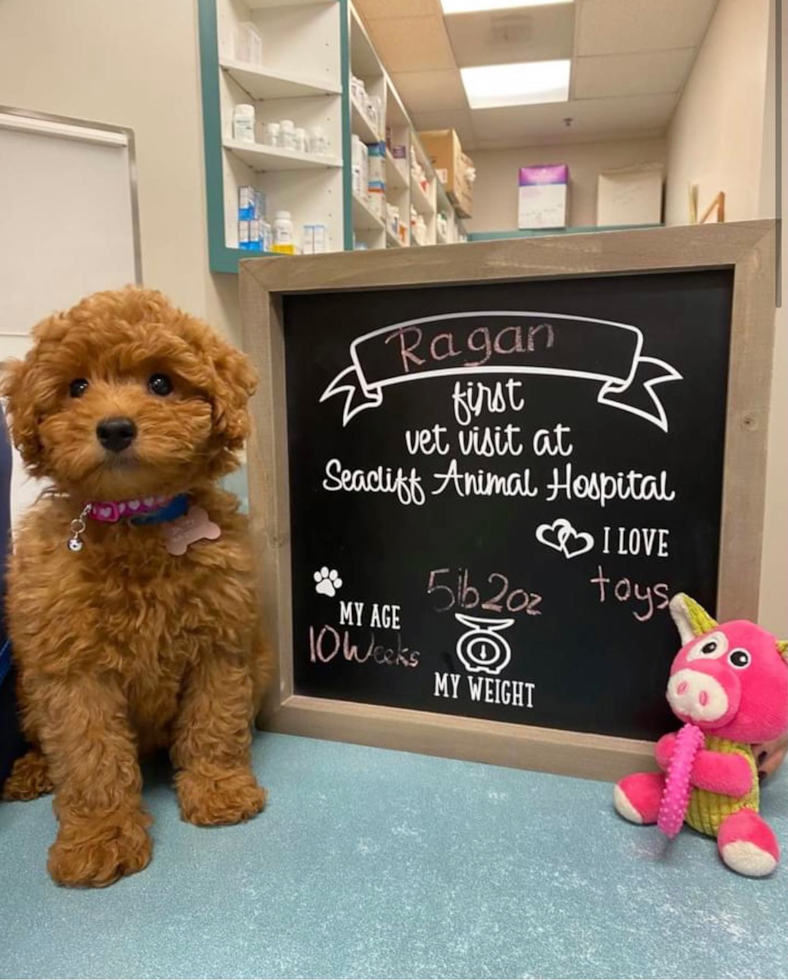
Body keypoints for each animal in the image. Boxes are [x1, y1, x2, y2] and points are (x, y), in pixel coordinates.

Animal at [0, 286, 270, 888]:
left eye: (162, 383)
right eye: (77, 387)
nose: (116, 429)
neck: (135, 520)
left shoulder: (220, 643)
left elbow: (214, 721)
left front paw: (219, 790)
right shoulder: (73, 672)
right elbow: (90, 755)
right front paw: (98, 838)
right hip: (28, 689)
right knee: (41, 738)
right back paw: (28, 771)